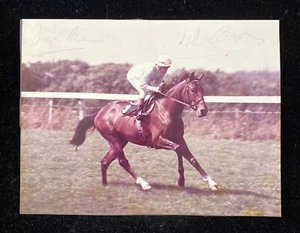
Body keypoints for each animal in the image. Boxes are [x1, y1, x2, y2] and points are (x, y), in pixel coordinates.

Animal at [70, 72, 220, 190]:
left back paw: (105, 185)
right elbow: (178, 149)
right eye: (193, 90)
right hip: (112, 138)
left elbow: (192, 159)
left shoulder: (179, 138)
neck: (167, 111)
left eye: (203, 89)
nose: (203, 110)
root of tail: (100, 112)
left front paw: (211, 182)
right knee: (122, 161)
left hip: (121, 140)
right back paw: (143, 183)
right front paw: (181, 180)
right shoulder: (157, 141)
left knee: (105, 161)